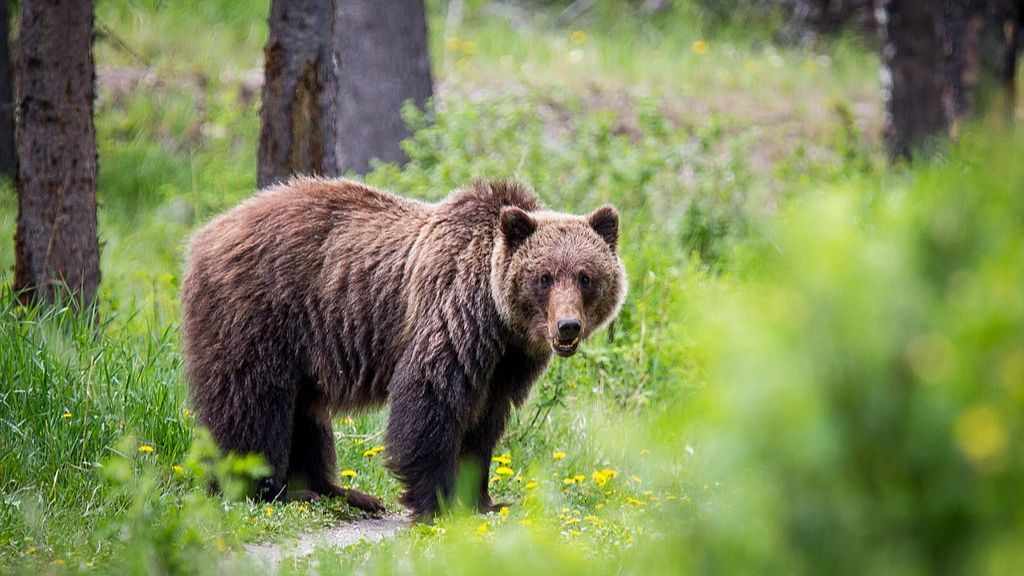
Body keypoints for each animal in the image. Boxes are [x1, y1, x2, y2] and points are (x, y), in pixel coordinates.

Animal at [181, 176, 626, 516]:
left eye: (586, 276)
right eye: (544, 277)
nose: (567, 327)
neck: (499, 319)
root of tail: (205, 233)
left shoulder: (505, 364)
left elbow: (484, 425)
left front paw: (485, 500)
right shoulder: (451, 317)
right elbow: (429, 400)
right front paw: (439, 502)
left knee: (305, 413)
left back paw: (342, 492)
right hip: (259, 313)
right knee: (253, 402)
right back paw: (267, 488)